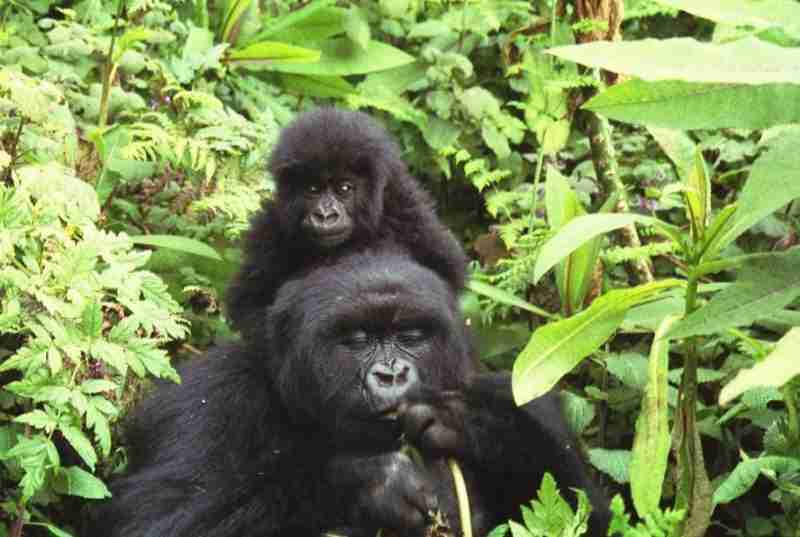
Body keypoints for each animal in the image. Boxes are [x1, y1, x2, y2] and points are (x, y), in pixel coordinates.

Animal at [87, 247, 608, 536]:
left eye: (410, 336)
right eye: (356, 339)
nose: (391, 375)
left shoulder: (520, 393)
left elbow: (593, 514)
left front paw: (470, 422)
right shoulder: (205, 399)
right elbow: (152, 520)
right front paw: (365, 483)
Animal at [227, 108, 468, 340]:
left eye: (344, 188)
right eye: (313, 189)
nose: (325, 215)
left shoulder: (411, 216)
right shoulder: (271, 229)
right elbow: (251, 305)